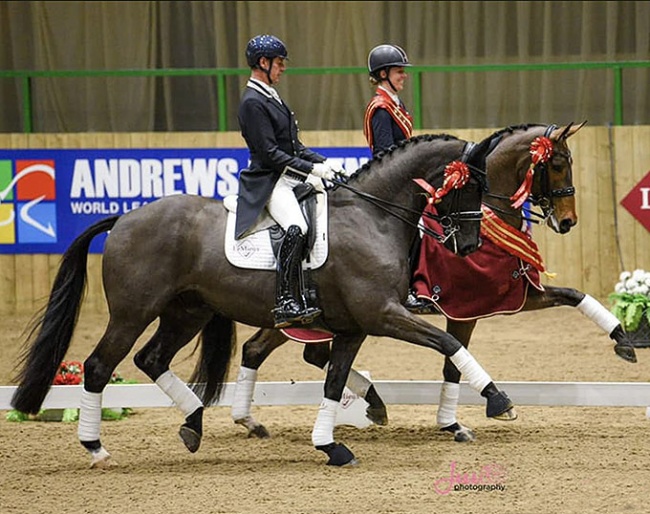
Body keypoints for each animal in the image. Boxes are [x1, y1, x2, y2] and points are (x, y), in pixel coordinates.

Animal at [8, 130, 512, 466]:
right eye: (471, 185)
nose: (469, 245)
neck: (372, 216)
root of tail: (126, 218)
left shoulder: (354, 327)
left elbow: (334, 381)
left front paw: (331, 445)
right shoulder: (382, 314)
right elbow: (450, 343)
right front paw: (498, 401)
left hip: (187, 311)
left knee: (151, 359)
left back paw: (194, 423)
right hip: (133, 313)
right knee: (98, 367)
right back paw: (96, 447)